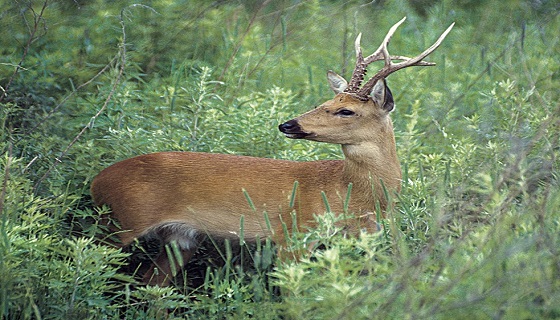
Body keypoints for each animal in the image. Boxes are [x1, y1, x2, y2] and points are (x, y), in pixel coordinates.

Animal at [91, 16, 450, 288]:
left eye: (345, 110)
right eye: (326, 101)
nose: (288, 124)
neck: (352, 193)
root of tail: (97, 181)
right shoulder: (293, 234)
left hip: (179, 239)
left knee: (151, 285)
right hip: (120, 223)